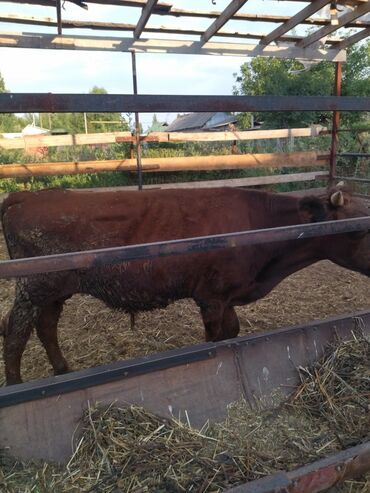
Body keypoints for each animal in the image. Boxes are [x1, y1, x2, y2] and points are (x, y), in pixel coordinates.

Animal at [2, 185, 370, 384]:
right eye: (359, 229)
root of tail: (27, 196)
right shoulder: (211, 298)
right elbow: (215, 339)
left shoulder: (227, 297)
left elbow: (232, 333)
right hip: (34, 287)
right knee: (16, 332)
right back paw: (16, 383)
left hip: (55, 292)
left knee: (46, 326)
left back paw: (63, 369)